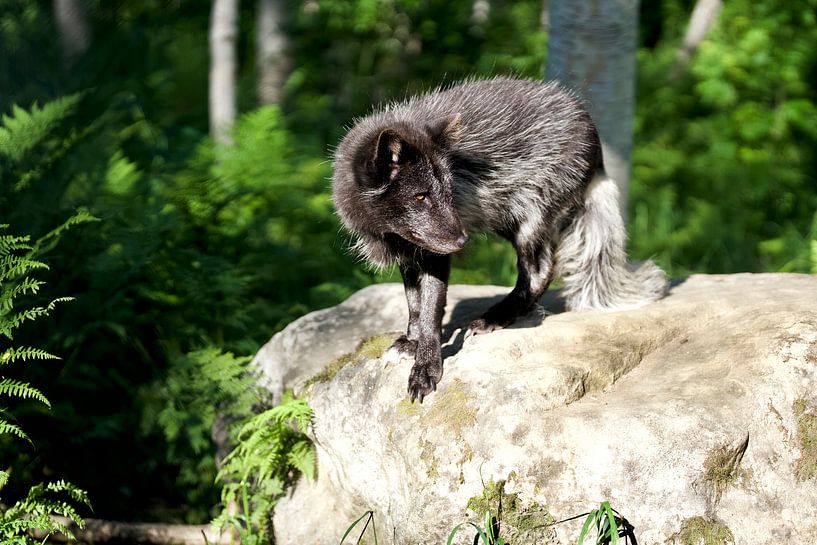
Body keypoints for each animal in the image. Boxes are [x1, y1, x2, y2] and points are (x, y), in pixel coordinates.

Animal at [332, 77, 668, 402]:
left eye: (449, 192)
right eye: (420, 196)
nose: (463, 242)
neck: (390, 233)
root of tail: (592, 130)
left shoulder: (434, 256)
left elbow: (430, 311)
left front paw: (425, 368)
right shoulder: (410, 251)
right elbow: (414, 306)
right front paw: (411, 343)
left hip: (527, 217)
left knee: (540, 269)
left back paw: (496, 317)